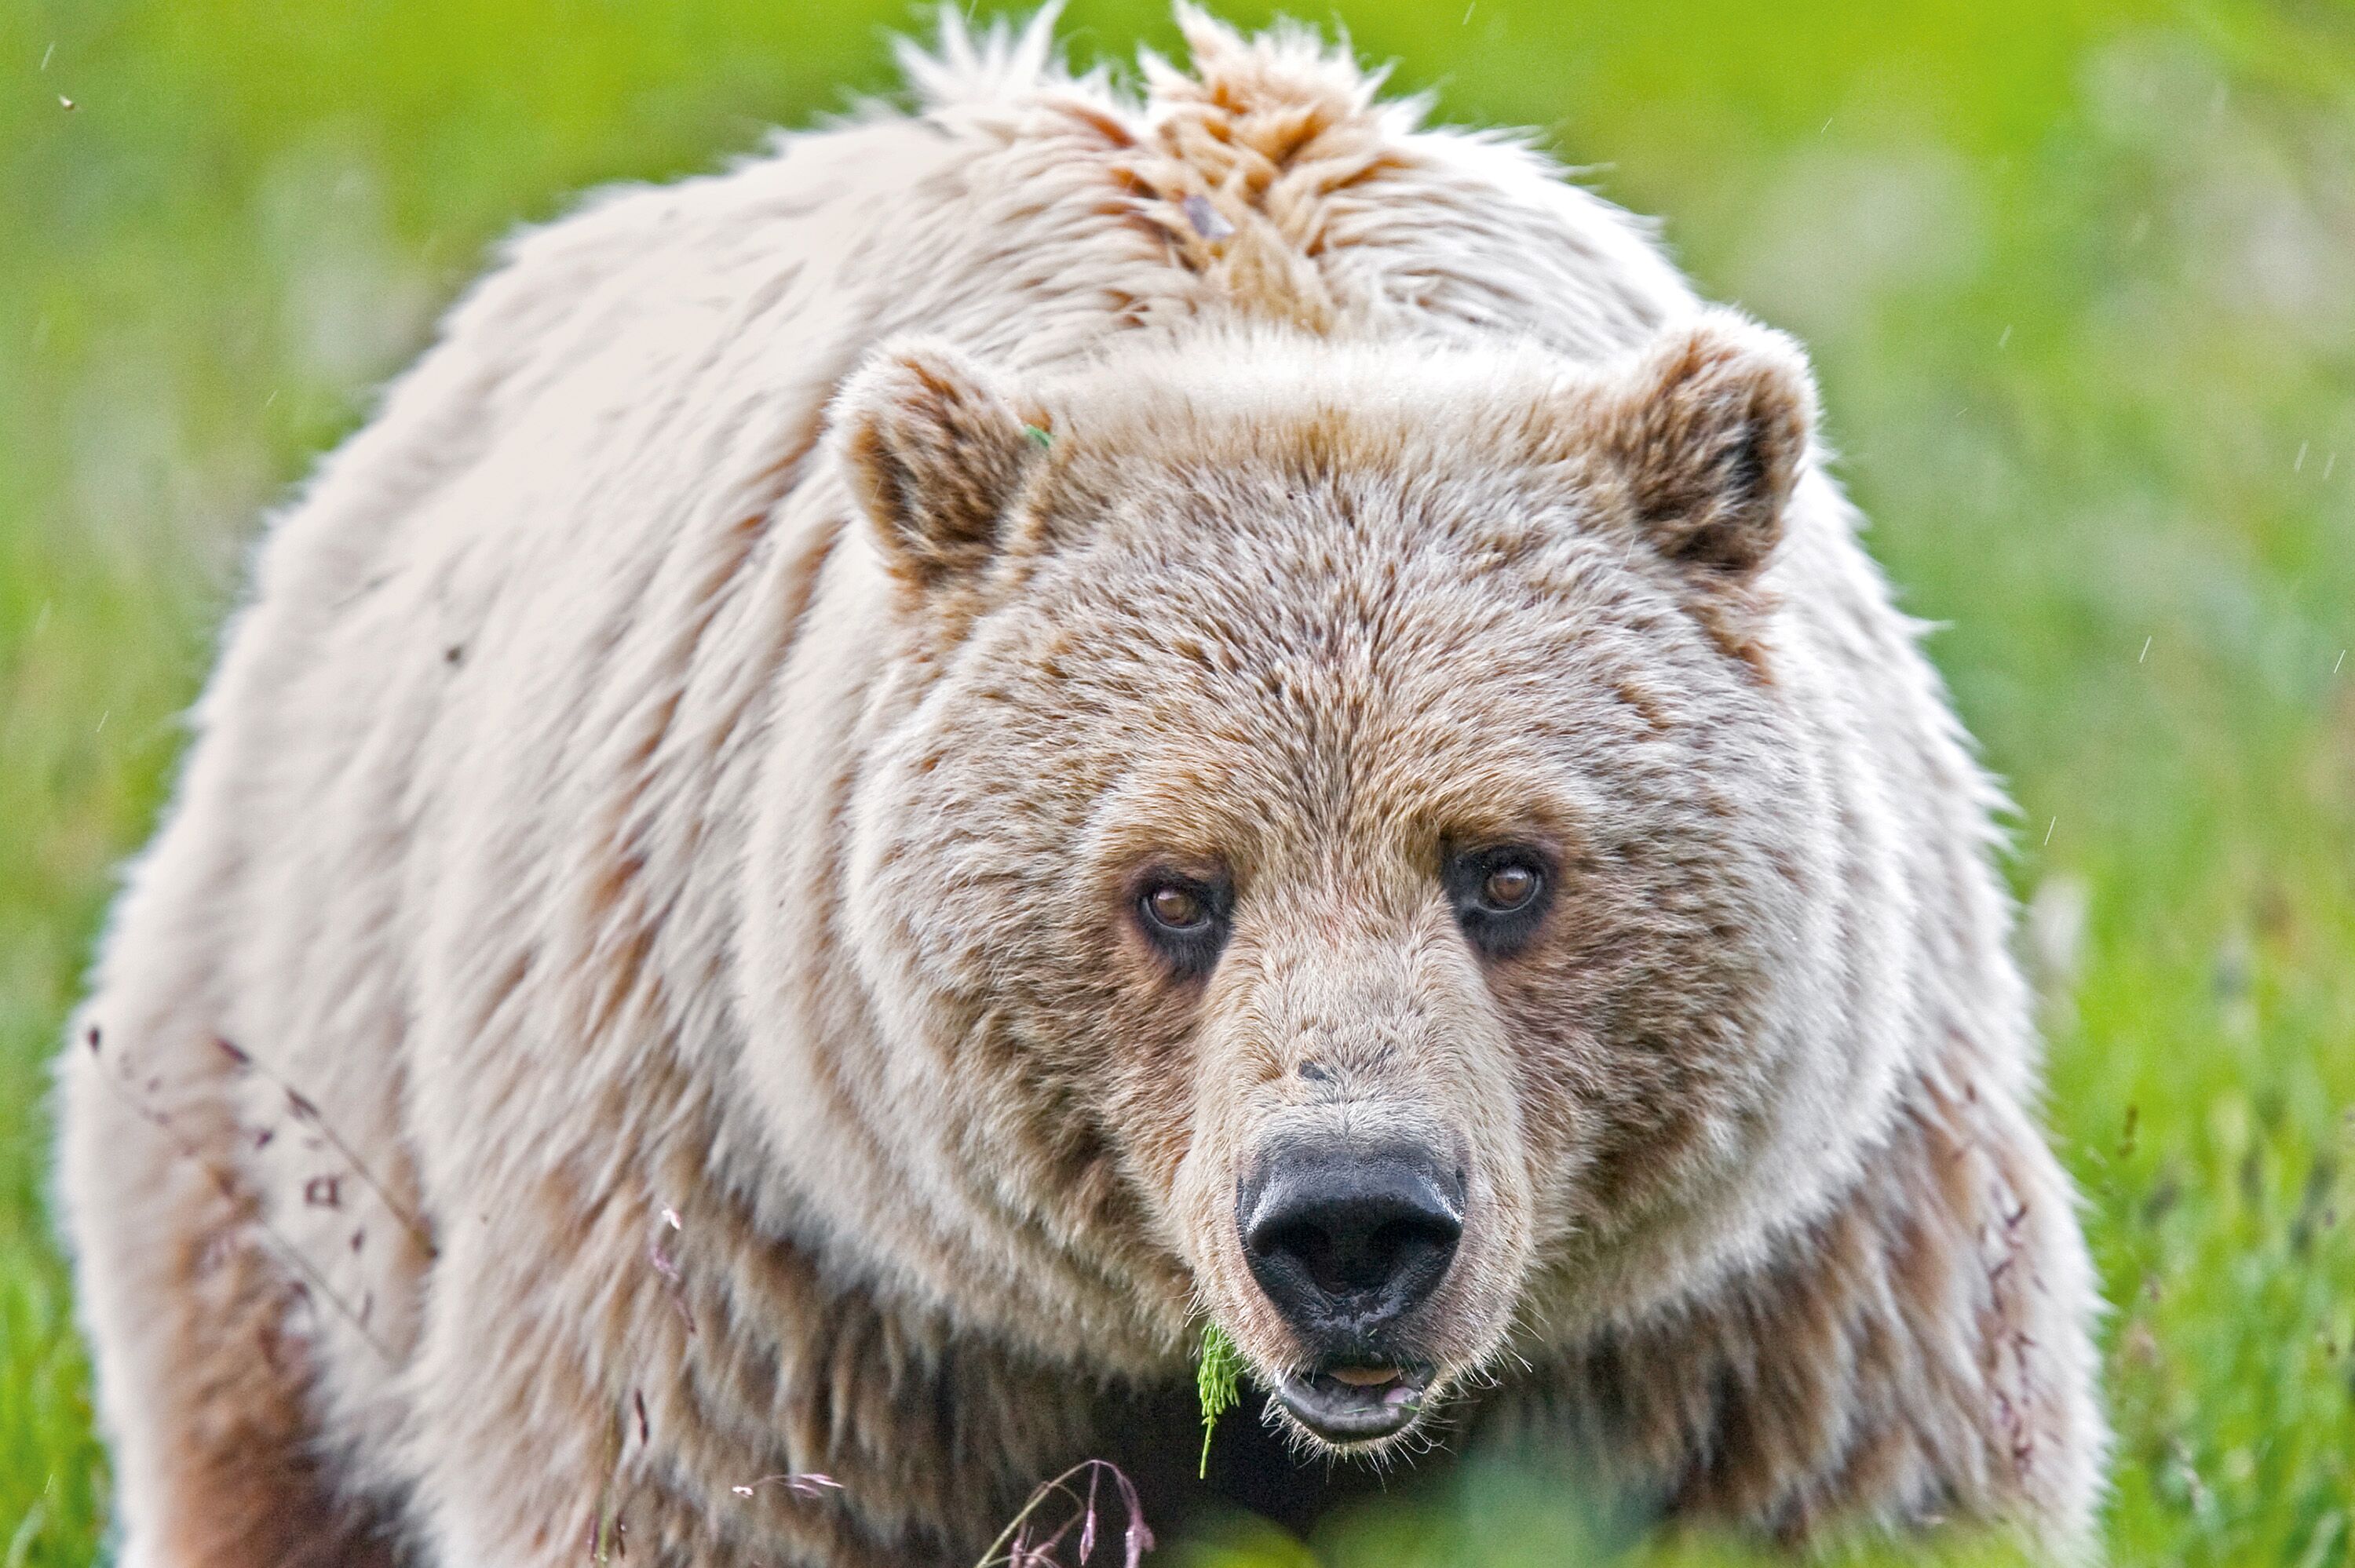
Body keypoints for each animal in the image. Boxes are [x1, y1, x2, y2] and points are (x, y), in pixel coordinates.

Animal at [55, 5, 2110, 1554]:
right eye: (1173, 890)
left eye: (1505, 867)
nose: (1349, 1223)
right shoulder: (772, 1267)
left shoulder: (1773, 1293)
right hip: (276, 1127)